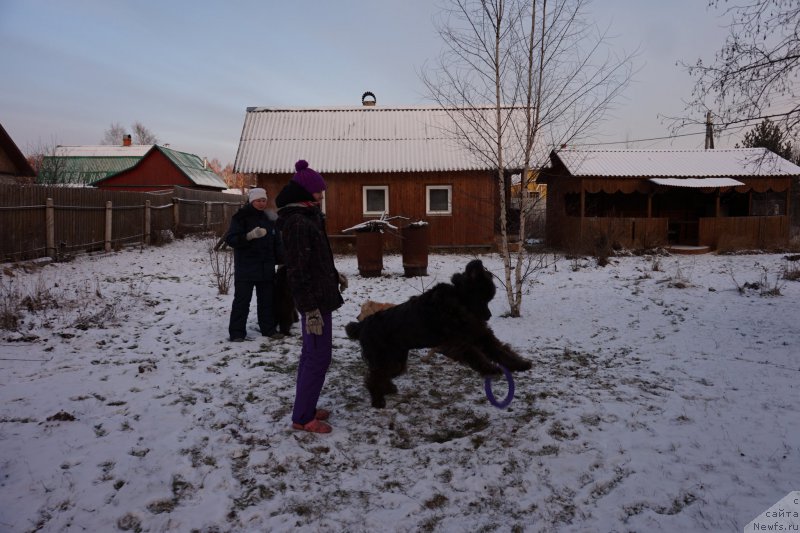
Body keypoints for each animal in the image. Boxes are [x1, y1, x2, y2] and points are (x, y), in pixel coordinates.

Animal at [344, 258, 532, 408]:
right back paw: (378, 400)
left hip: (396, 360)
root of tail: (362, 325)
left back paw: (388, 389)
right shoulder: (457, 344)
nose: (488, 316)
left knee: (381, 376)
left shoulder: (480, 335)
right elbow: (478, 357)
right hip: (385, 358)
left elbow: (501, 350)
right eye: (483, 298)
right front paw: (491, 369)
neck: (459, 299)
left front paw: (520, 364)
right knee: (373, 378)